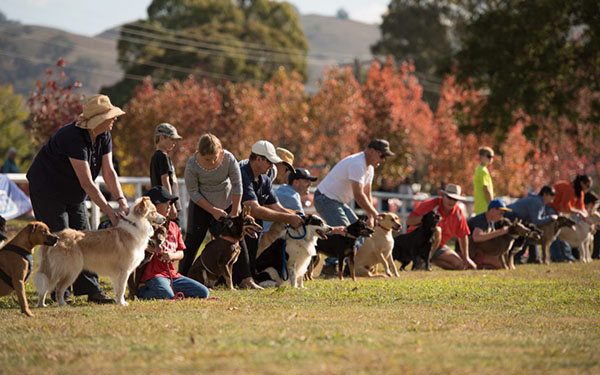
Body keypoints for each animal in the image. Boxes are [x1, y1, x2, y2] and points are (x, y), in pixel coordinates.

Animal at [35, 198, 166, 306]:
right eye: (153, 212)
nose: (165, 218)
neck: (137, 225)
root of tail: (57, 237)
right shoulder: (124, 271)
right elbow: (122, 288)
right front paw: (122, 303)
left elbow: (118, 289)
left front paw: (119, 302)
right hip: (71, 270)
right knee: (58, 288)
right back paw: (63, 304)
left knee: (45, 287)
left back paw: (42, 305)